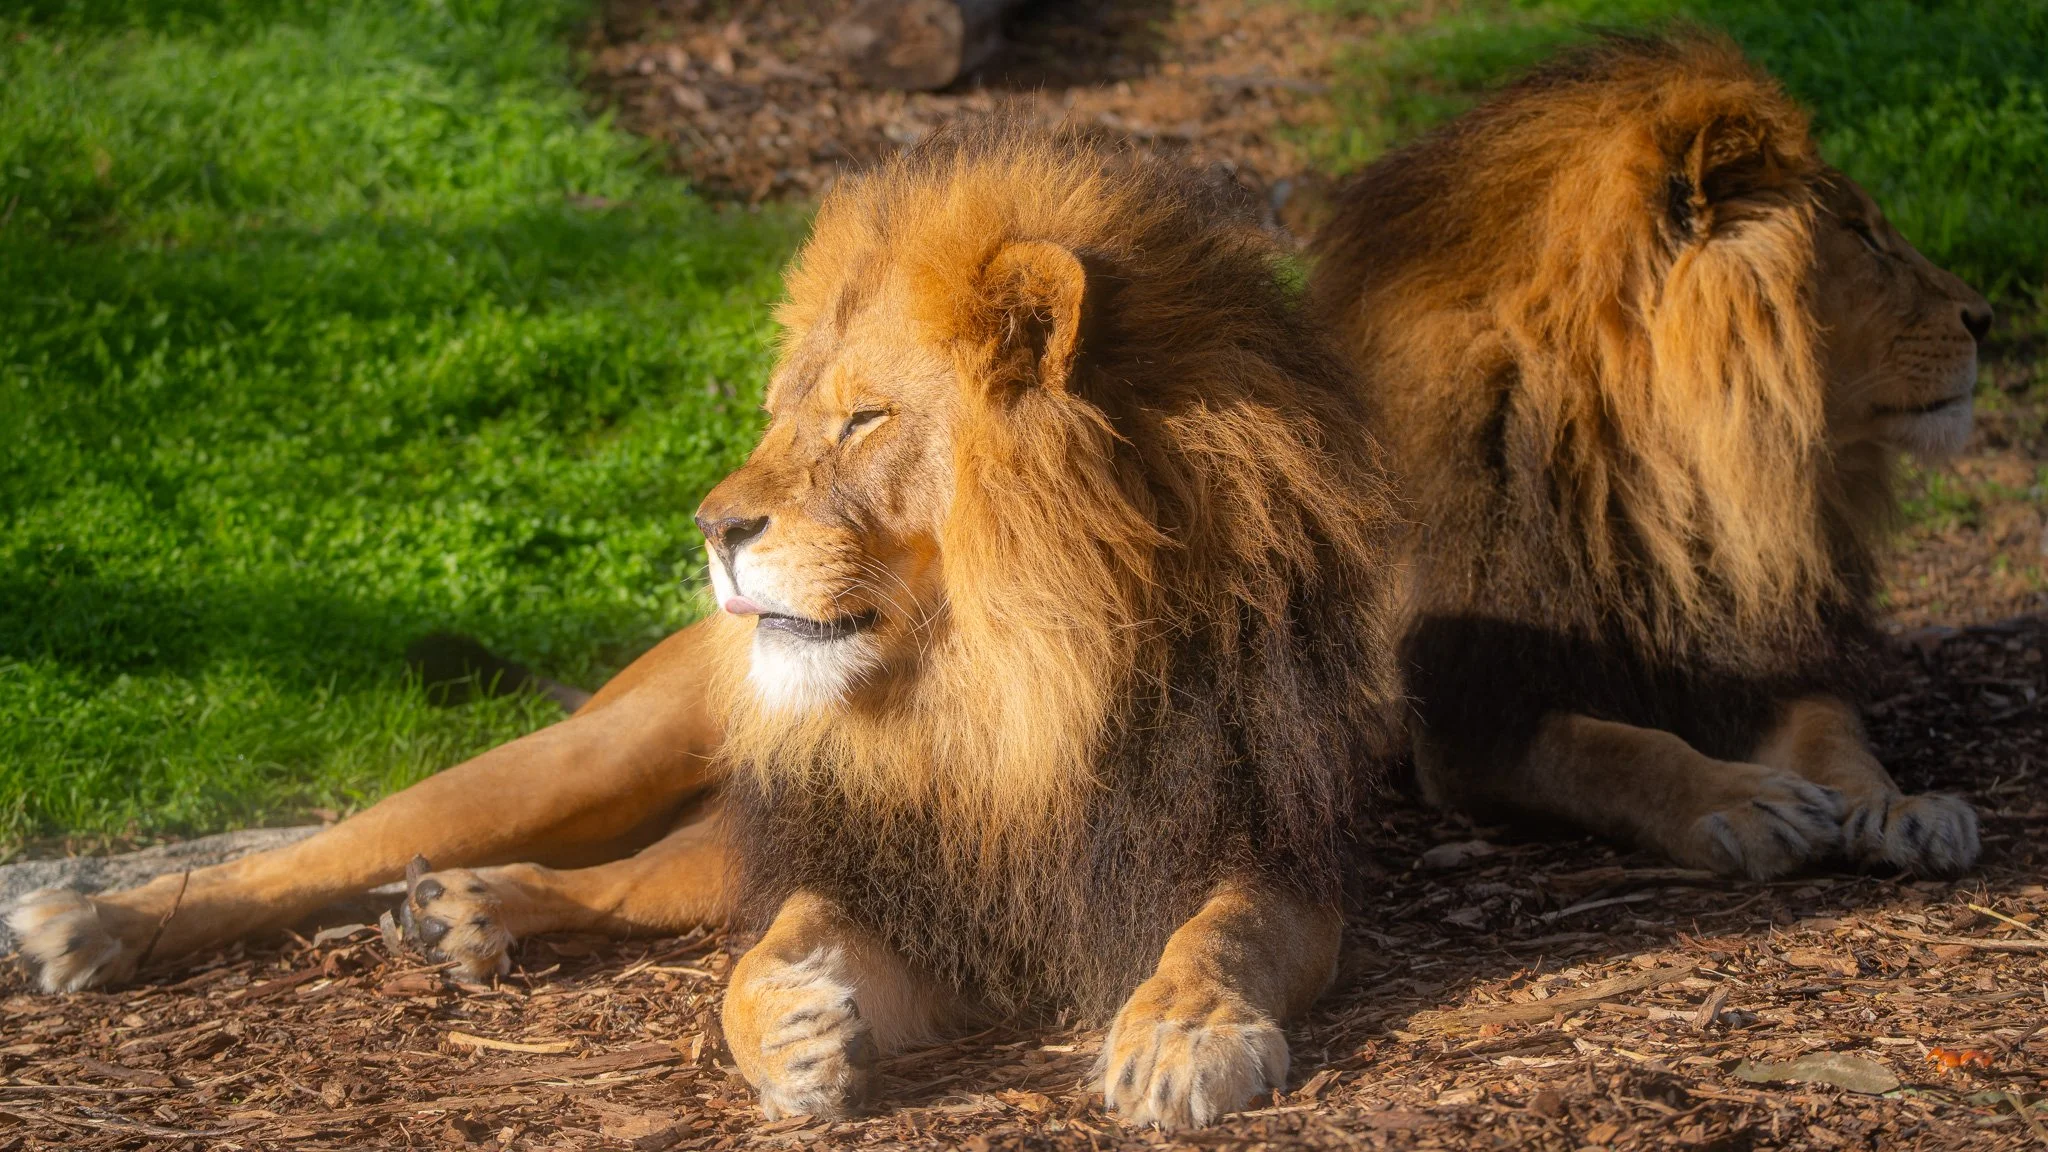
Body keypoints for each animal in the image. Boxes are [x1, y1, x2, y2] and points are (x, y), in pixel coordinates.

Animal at [11, 123, 1403, 1129]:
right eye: (783, 414)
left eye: (862, 419)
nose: (711, 527)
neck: (1000, 678)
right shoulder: (875, 865)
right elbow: (757, 958)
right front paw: (790, 1033)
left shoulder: (1265, 850)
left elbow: (1218, 934)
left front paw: (1178, 1035)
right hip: (595, 751)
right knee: (339, 847)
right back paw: (96, 924)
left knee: (630, 883)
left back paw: (466, 912)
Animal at [1307, 32, 1992, 879]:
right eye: (1863, 236)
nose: (1985, 318)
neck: (1670, 477)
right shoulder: (1470, 714)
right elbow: (1616, 752)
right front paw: (1744, 803)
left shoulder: (1752, 653)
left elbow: (1834, 735)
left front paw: (1898, 808)